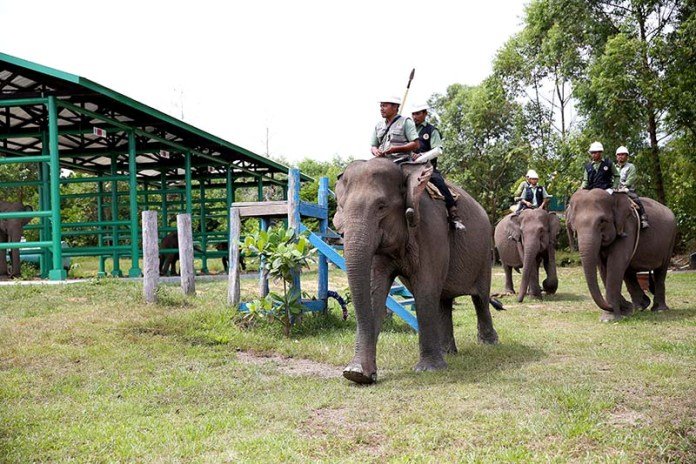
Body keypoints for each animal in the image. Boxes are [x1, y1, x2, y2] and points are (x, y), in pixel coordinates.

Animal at [333, 158, 500, 385]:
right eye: (341, 207)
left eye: (381, 206)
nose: (367, 374)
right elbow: (375, 290)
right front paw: (357, 374)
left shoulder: (431, 227)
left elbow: (425, 288)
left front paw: (428, 370)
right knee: (443, 301)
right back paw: (447, 352)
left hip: (484, 252)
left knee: (480, 298)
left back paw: (489, 344)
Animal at [566, 189, 676, 321]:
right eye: (573, 224)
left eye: (602, 221)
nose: (626, 306)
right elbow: (603, 267)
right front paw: (624, 310)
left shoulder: (628, 226)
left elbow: (616, 262)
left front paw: (609, 318)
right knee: (629, 272)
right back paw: (640, 306)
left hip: (670, 240)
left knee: (661, 270)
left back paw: (659, 310)